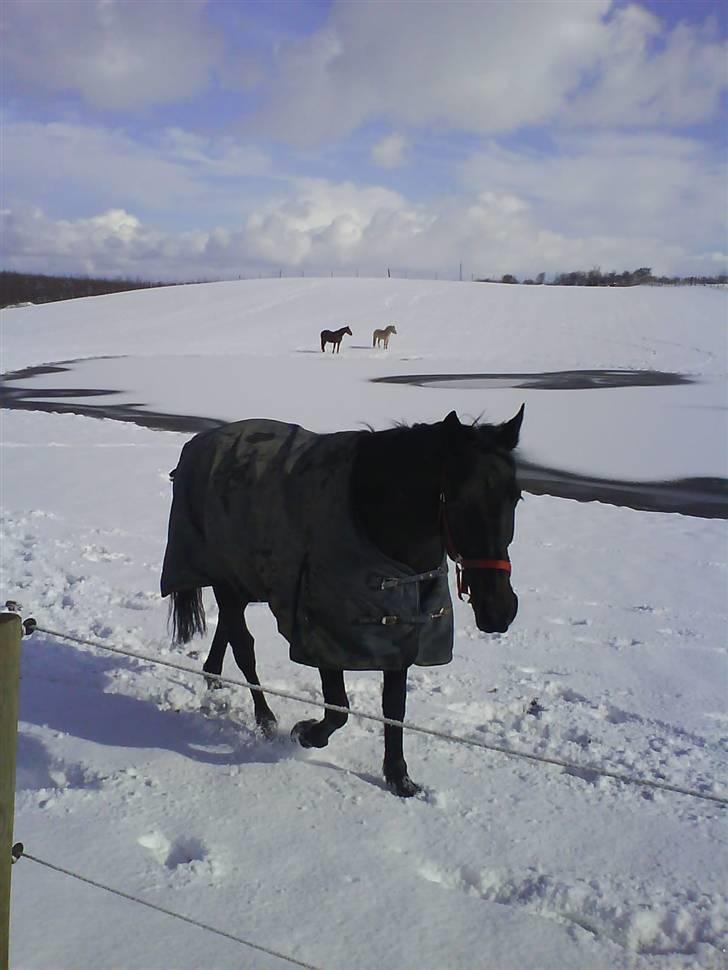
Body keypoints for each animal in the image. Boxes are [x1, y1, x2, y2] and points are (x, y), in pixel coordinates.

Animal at [164, 408, 524, 796]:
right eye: (457, 499)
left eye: (516, 497)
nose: (499, 609)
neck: (371, 517)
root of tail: (202, 443)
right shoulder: (323, 631)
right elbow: (338, 708)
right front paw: (305, 733)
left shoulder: (401, 629)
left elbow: (393, 706)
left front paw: (399, 777)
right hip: (226, 579)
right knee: (243, 646)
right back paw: (265, 719)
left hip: (241, 580)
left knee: (229, 633)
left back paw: (214, 680)